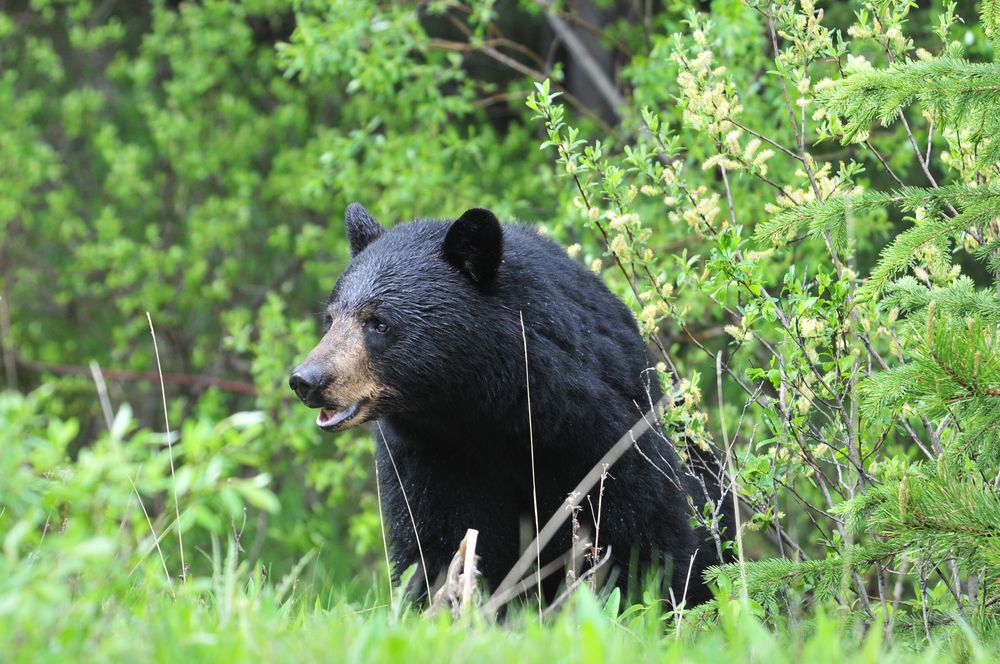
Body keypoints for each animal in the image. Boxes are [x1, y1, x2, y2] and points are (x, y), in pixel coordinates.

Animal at [290, 202, 728, 608]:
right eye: (331, 318)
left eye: (378, 322)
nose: (307, 380)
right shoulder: (428, 459)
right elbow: (437, 542)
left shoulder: (604, 442)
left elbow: (641, 536)